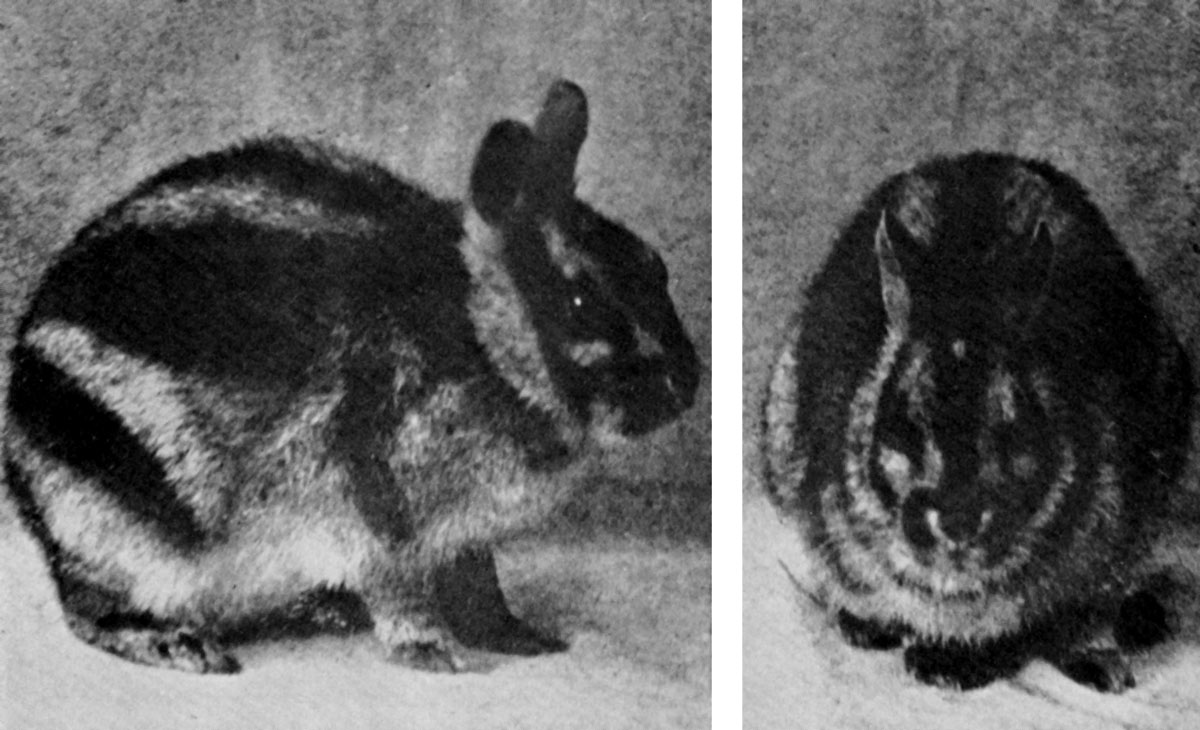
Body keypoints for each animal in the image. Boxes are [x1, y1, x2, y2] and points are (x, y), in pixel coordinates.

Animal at [2, 78, 700, 672]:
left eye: (655, 265)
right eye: (579, 303)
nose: (688, 385)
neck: (481, 339)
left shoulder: (463, 532)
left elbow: (480, 584)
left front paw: (520, 638)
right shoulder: (382, 511)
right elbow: (400, 587)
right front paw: (431, 652)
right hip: (122, 524)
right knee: (88, 609)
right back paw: (174, 643)